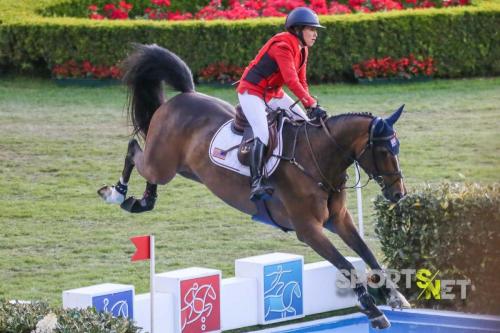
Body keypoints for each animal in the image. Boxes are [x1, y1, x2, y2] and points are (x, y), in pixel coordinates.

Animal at [98, 44, 410, 330]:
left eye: (398, 148)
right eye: (384, 151)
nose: (398, 194)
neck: (318, 159)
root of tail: (185, 96)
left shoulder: (339, 220)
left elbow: (366, 252)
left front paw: (395, 297)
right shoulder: (309, 230)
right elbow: (345, 264)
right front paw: (373, 310)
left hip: (182, 169)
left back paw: (142, 200)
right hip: (162, 165)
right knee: (134, 150)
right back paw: (117, 193)